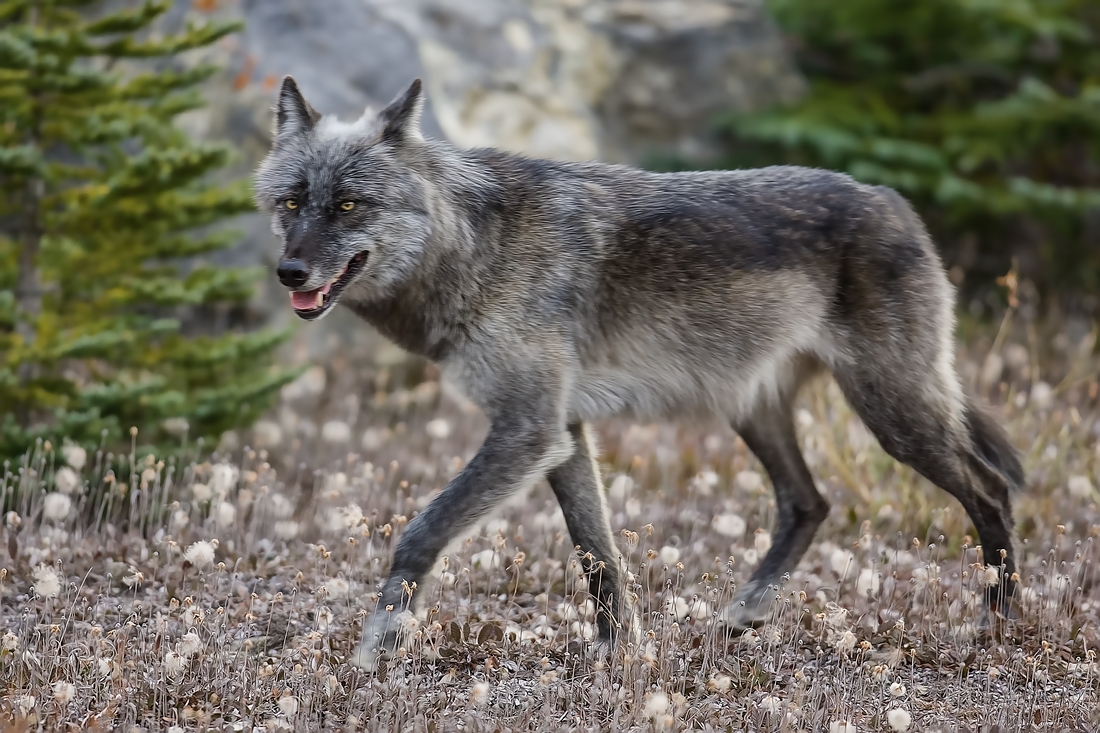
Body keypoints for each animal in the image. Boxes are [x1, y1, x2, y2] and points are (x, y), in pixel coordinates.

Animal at [253, 75, 1025, 669]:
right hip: (756, 412)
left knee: (990, 491)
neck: (475, 245)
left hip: (892, 415)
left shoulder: (528, 431)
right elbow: (598, 555)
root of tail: (895, 200)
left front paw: (373, 652)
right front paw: (619, 654)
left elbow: (420, 532)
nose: (288, 271)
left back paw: (998, 626)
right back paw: (741, 616)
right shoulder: (560, 433)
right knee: (809, 503)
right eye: (291, 202)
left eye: (348, 204)